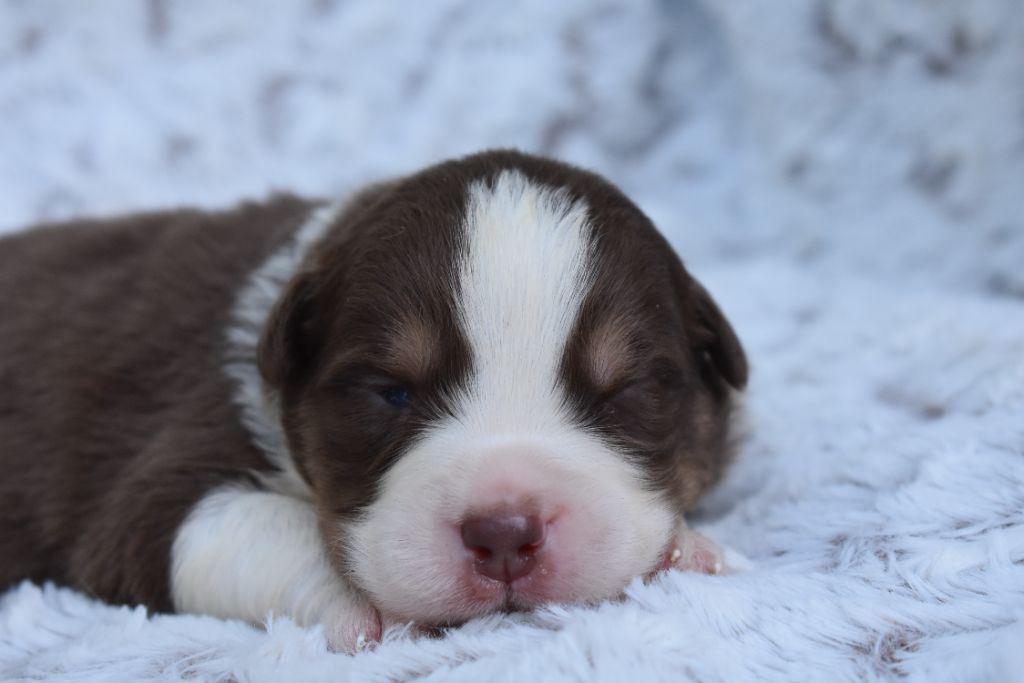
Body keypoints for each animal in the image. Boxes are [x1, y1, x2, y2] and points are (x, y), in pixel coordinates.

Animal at [2, 149, 753, 651]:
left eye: (625, 391)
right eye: (392, 392)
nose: (504, 533)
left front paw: (685, 548)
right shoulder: (154, 487)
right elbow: (241, 526)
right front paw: (370, 608)